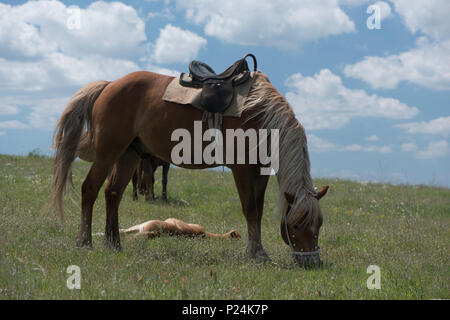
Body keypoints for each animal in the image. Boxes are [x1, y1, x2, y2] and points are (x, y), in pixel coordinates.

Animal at [50, 70, 326, 268]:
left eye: (320, 224)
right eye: (297, 225)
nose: (312, 262)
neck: (260, 116)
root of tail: (109, 85)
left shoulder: (260, 171)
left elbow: (257, 211)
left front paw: (258, 251)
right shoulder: (243, 169)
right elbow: (250, 210)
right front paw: (255, 253)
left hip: (128, 154)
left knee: (113, 194)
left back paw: (113, 244)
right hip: (109, 152)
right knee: (90, 190)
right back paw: (84, 242)